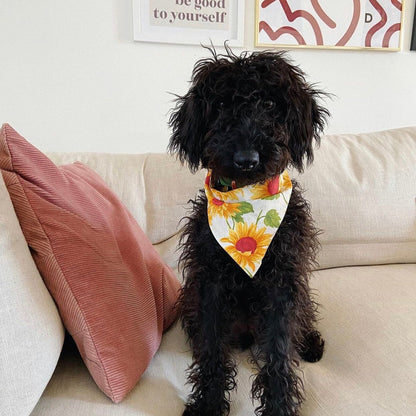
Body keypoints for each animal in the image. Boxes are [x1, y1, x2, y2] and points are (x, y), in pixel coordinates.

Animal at [168, 46, 328, 416]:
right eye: (220, 105)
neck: (247, 203)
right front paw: (208, 403)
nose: (246, 159)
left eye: (269, 104)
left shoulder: (283, 284)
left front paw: (279, 406)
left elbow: (279, 352)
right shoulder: (209, 283)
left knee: (304, 317)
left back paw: (310, 343)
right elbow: (212, 348)